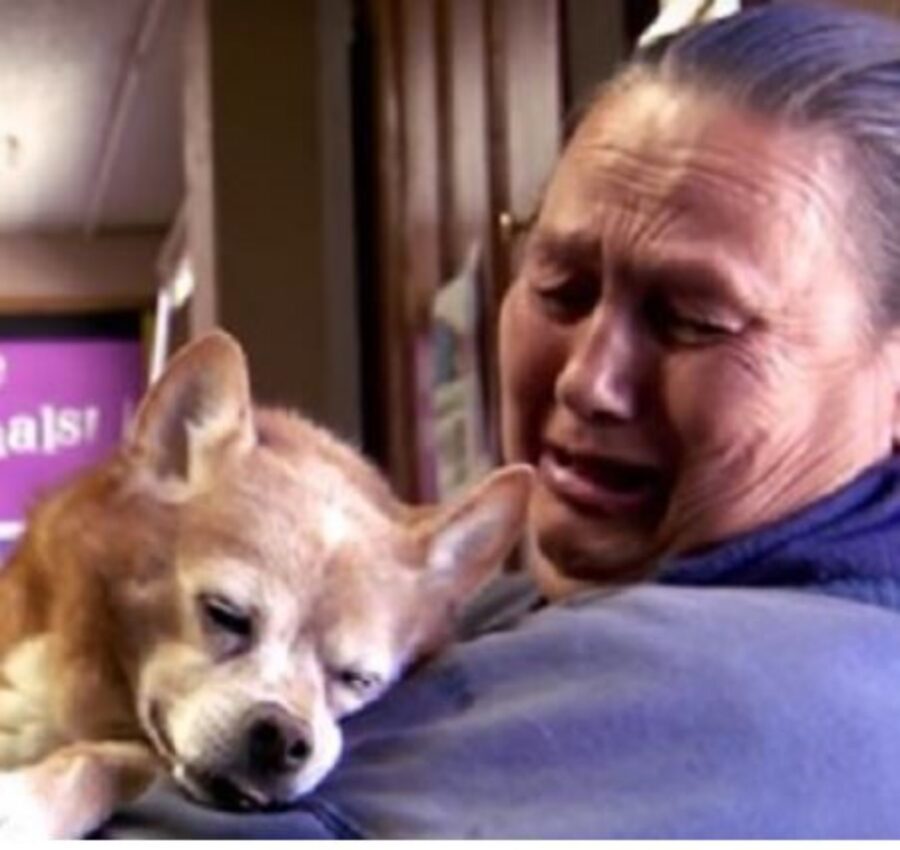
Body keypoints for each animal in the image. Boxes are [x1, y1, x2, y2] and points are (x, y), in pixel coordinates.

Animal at [0, 330, 532, 836]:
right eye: (225, 615)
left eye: (357, 679)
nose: (284, 736)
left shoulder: (140, 757)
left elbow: (107, 759)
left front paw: (28, 805)